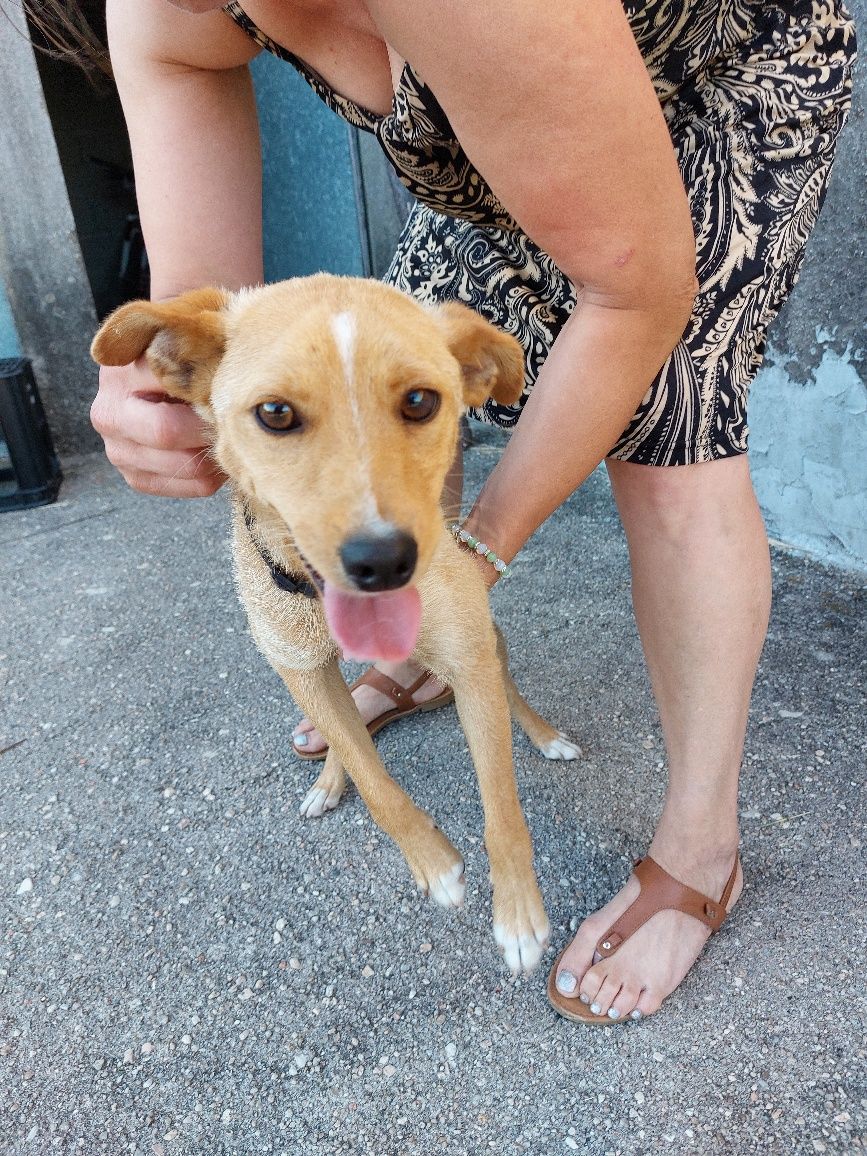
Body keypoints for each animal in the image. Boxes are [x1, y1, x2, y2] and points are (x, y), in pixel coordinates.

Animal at [91, 275, 580, 971]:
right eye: (275, 413)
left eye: (420, 401)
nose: (384, 560)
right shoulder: (300, 667)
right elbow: (375, 782)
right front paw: (433, 865)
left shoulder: (470, 661)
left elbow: (502, 808)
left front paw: (517, 917)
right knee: (346, 733)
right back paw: (329, 777)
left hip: (485, 645)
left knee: (508, 690)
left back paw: (544, 736)